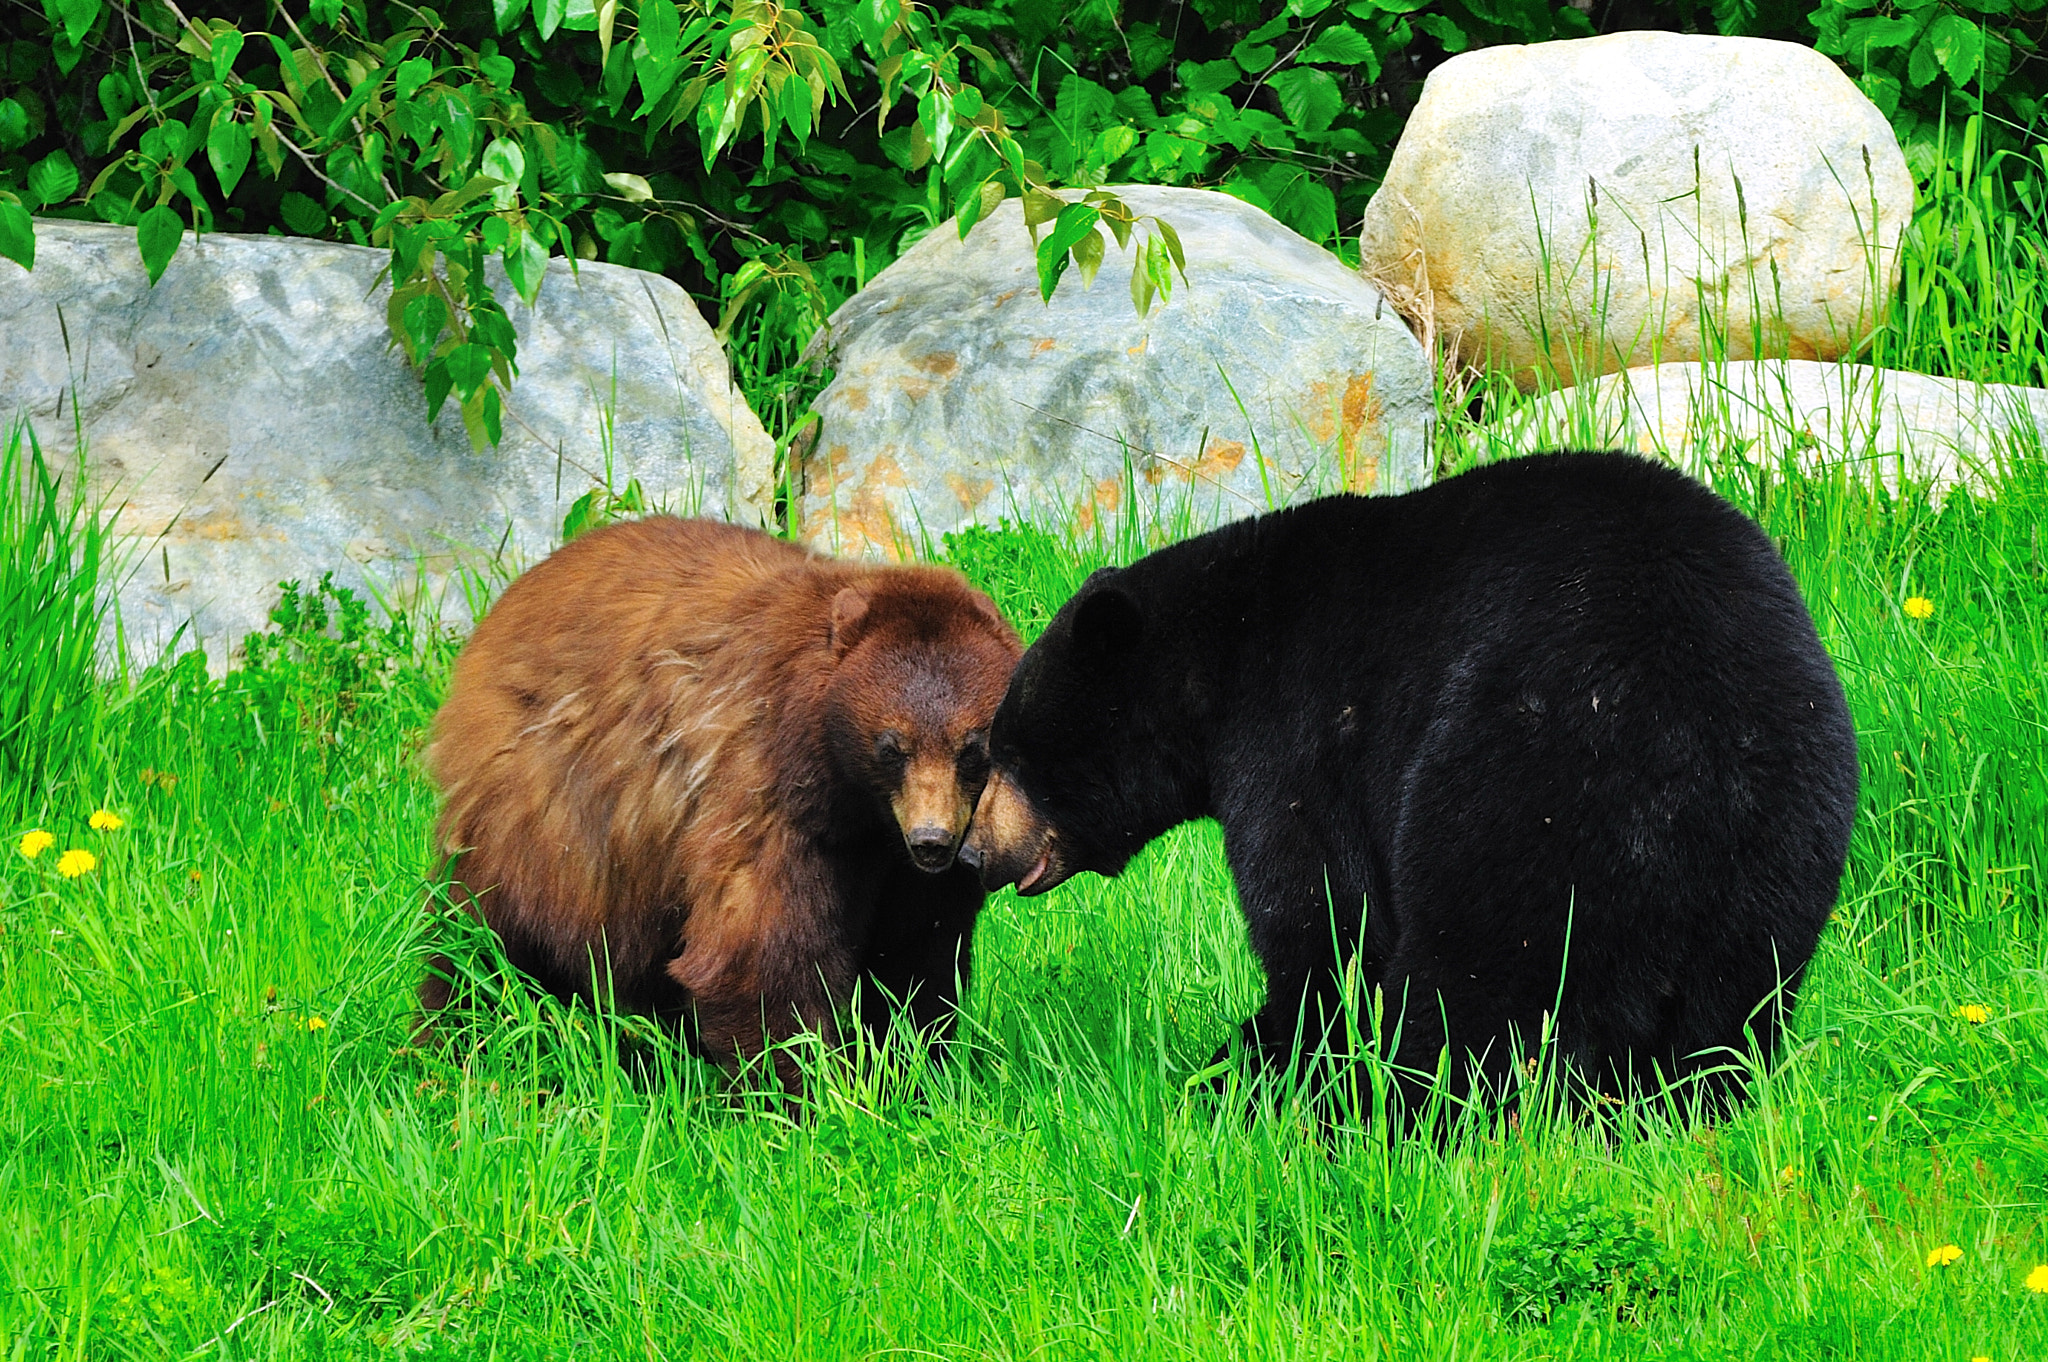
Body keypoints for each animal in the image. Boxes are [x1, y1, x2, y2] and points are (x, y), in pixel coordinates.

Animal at [958, 450, 1859, 1114]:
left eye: (1007, 752)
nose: (971, 853)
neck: (1218, 657)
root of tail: (1700, 753)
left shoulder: (1294, 737)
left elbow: (1322, 922)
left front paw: (1258, 1063)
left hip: (1522, 793)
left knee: (1479, 989)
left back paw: (1389, 1110)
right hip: (1784, 850)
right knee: (1726, 1019)